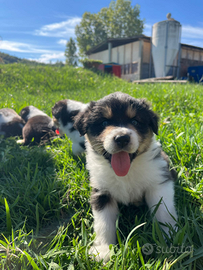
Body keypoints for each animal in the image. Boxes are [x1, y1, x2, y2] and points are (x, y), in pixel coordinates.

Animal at [74, 92, 178, 260]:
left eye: (135, 121)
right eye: (104, 122)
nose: (122, 138)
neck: (126, 173)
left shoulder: (159, 183)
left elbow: (163, 211)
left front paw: (169, 237)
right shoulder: (102, 192)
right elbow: (103, 222)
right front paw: (103, 250)